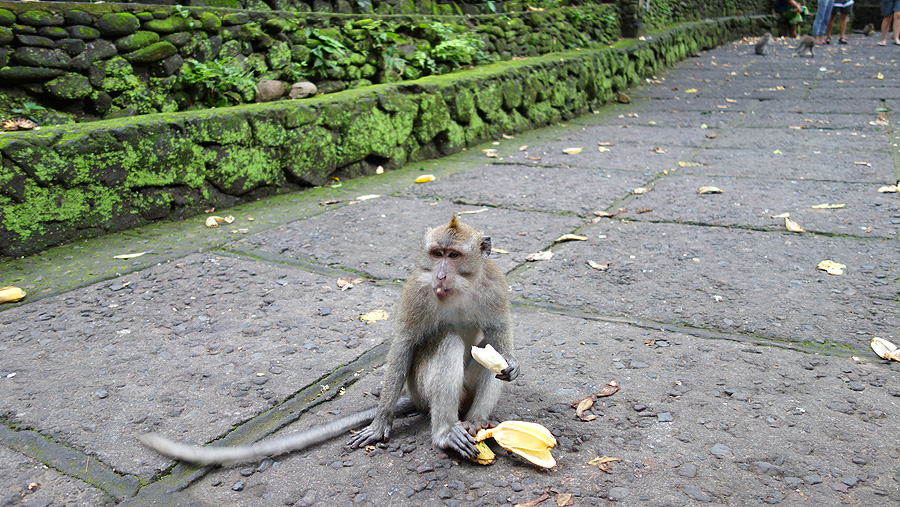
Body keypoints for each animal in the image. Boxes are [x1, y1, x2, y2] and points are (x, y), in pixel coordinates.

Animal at [141, 216, 520, 466]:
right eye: (437, 253)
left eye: (454, 256)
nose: (440, 275)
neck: (459, 289)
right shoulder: (417, 291)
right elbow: (404, 343)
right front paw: (380, 422)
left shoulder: (494, 286)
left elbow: (499, 336)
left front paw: (512, 366)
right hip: (420, 388)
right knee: (446, 342)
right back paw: (445, 432)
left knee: (487, 356)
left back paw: (476, 421)